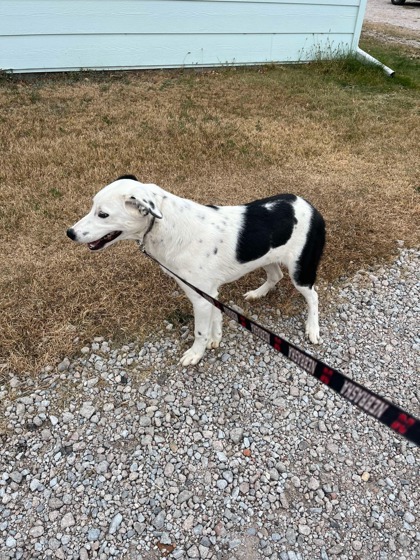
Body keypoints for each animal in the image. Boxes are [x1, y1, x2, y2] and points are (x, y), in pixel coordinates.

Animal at [68, 176, 324, 368]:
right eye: (92, 206)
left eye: (103, 214)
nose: (70, 233)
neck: (167, 226)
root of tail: (311, 207)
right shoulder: (210, 293)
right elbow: (216, 317)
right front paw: (216, 338)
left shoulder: (200, 297)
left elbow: (200, 331)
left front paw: (196, 353)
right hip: (265, 255)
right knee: (275, 276)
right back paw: (258, 293)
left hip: (300, 270)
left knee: (313, 296)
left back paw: (312, 328)